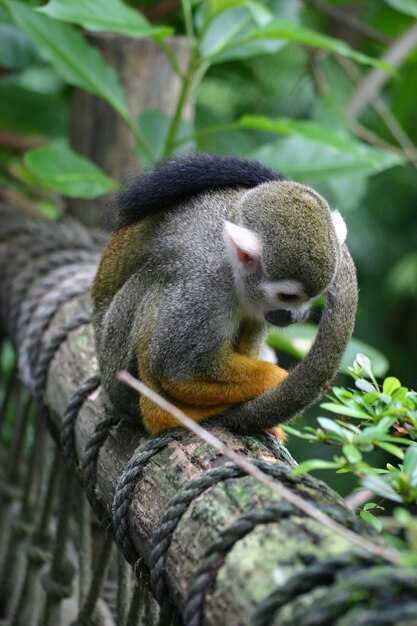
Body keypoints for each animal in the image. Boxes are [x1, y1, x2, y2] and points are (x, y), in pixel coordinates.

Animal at [92, 154, 356, 438]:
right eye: (287, 296)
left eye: (310, 298)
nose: (298, 315)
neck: (234, 273)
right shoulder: (205, 287)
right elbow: (177, 368)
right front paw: (274, 379)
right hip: (115, 356)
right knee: (157, 284)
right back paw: (161, 416)